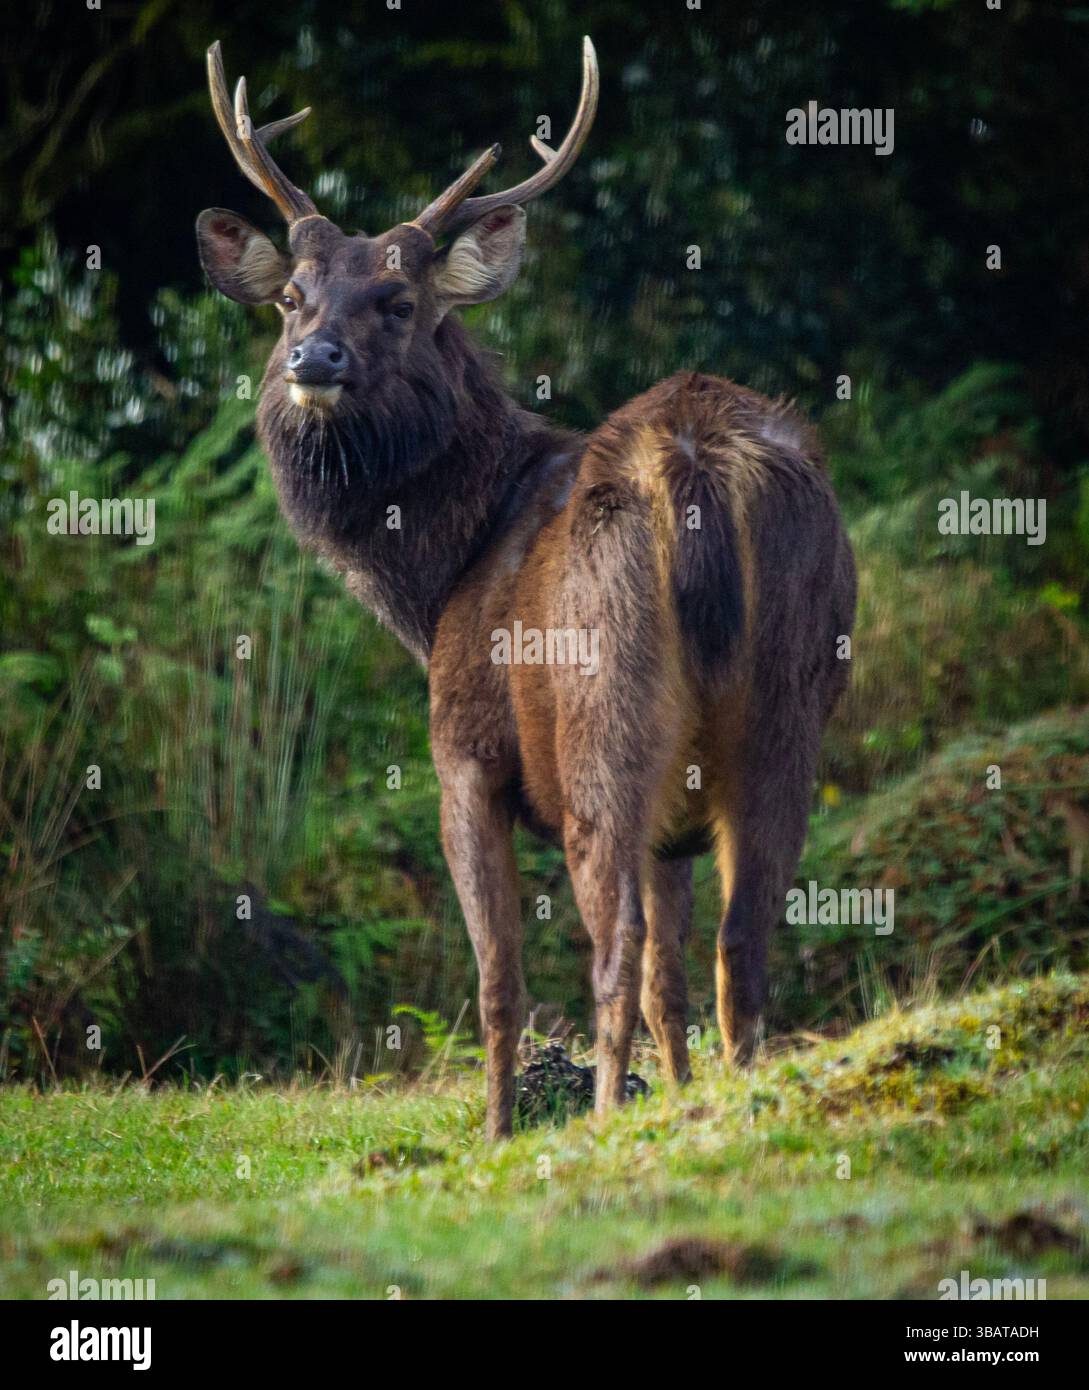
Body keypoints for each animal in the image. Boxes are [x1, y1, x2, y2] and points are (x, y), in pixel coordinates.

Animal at [196, 37, 856, 1138]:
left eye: (400, 304)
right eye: (292, 295)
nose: (312, 357)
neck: (436, 583)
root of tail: (692, 464)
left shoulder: (463, 751)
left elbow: (498, 981)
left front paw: (499, 1130)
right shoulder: (676, 820)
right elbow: (673, 976)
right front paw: (678, 1102)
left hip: (601, 709)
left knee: (613, 950)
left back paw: (600, 1112)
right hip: (787, 709)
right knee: (741, 941)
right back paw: (729, 1100)